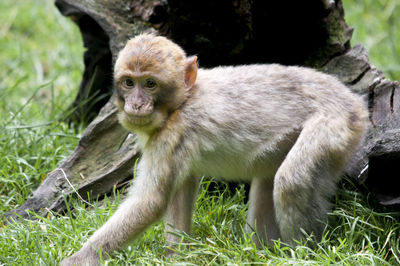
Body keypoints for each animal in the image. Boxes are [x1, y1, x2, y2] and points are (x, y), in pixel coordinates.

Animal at [61, 33, 368, 266]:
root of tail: (357, 105)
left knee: (292, 180)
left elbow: (150, 201)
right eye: (128, 82)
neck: (181, 102)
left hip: (333, 127)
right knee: (268, 177)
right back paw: (259, 252)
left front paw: (80, 259)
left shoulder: (172, 134)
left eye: (150, 84)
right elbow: (180, 189)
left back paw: (300, 256)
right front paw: (177, 257)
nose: (136, 105)